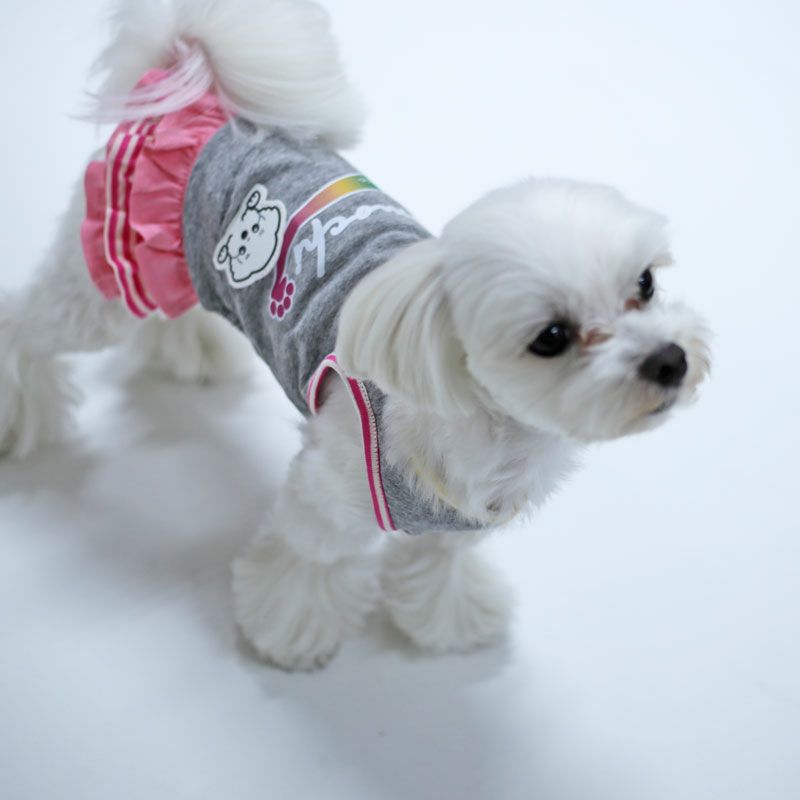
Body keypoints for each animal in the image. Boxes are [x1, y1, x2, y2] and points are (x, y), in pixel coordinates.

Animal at [0, 0, 710, 670]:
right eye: (552, 337)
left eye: (645, 283)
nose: (670, 360)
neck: (484, 431)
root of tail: (193, 88)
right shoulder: (327, 497)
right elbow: (310, 559)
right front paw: (290, 634)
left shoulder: (462, 520)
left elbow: (443, 564)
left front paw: (451, 618)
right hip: (99, 287)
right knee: (27, 329)